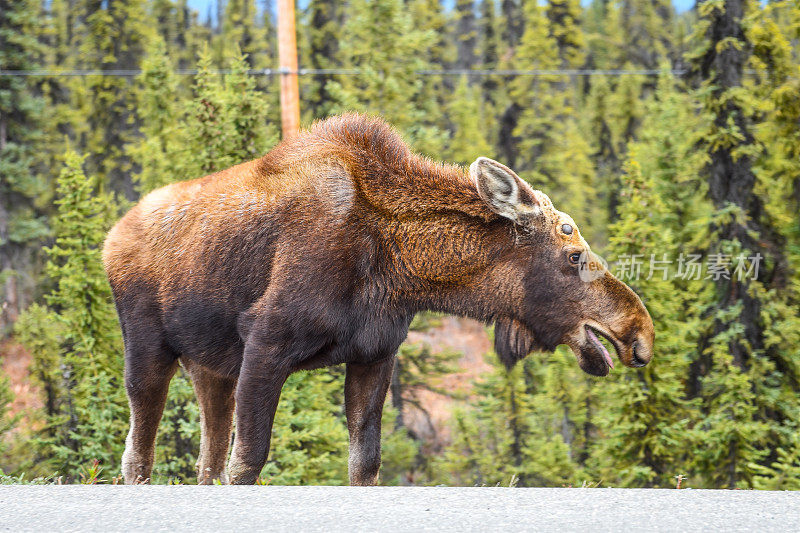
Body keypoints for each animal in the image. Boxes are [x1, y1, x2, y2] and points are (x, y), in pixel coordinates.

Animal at [104, 114, 656, 484]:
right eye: (574, 253)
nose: (641, 335)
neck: (398, 267)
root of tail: (112, 235)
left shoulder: (374, 355)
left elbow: (364, 463)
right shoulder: (266, 345)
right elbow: (248, 462)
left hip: (210, 367)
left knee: (205, 458)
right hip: (148, 349)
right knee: (138, 453)